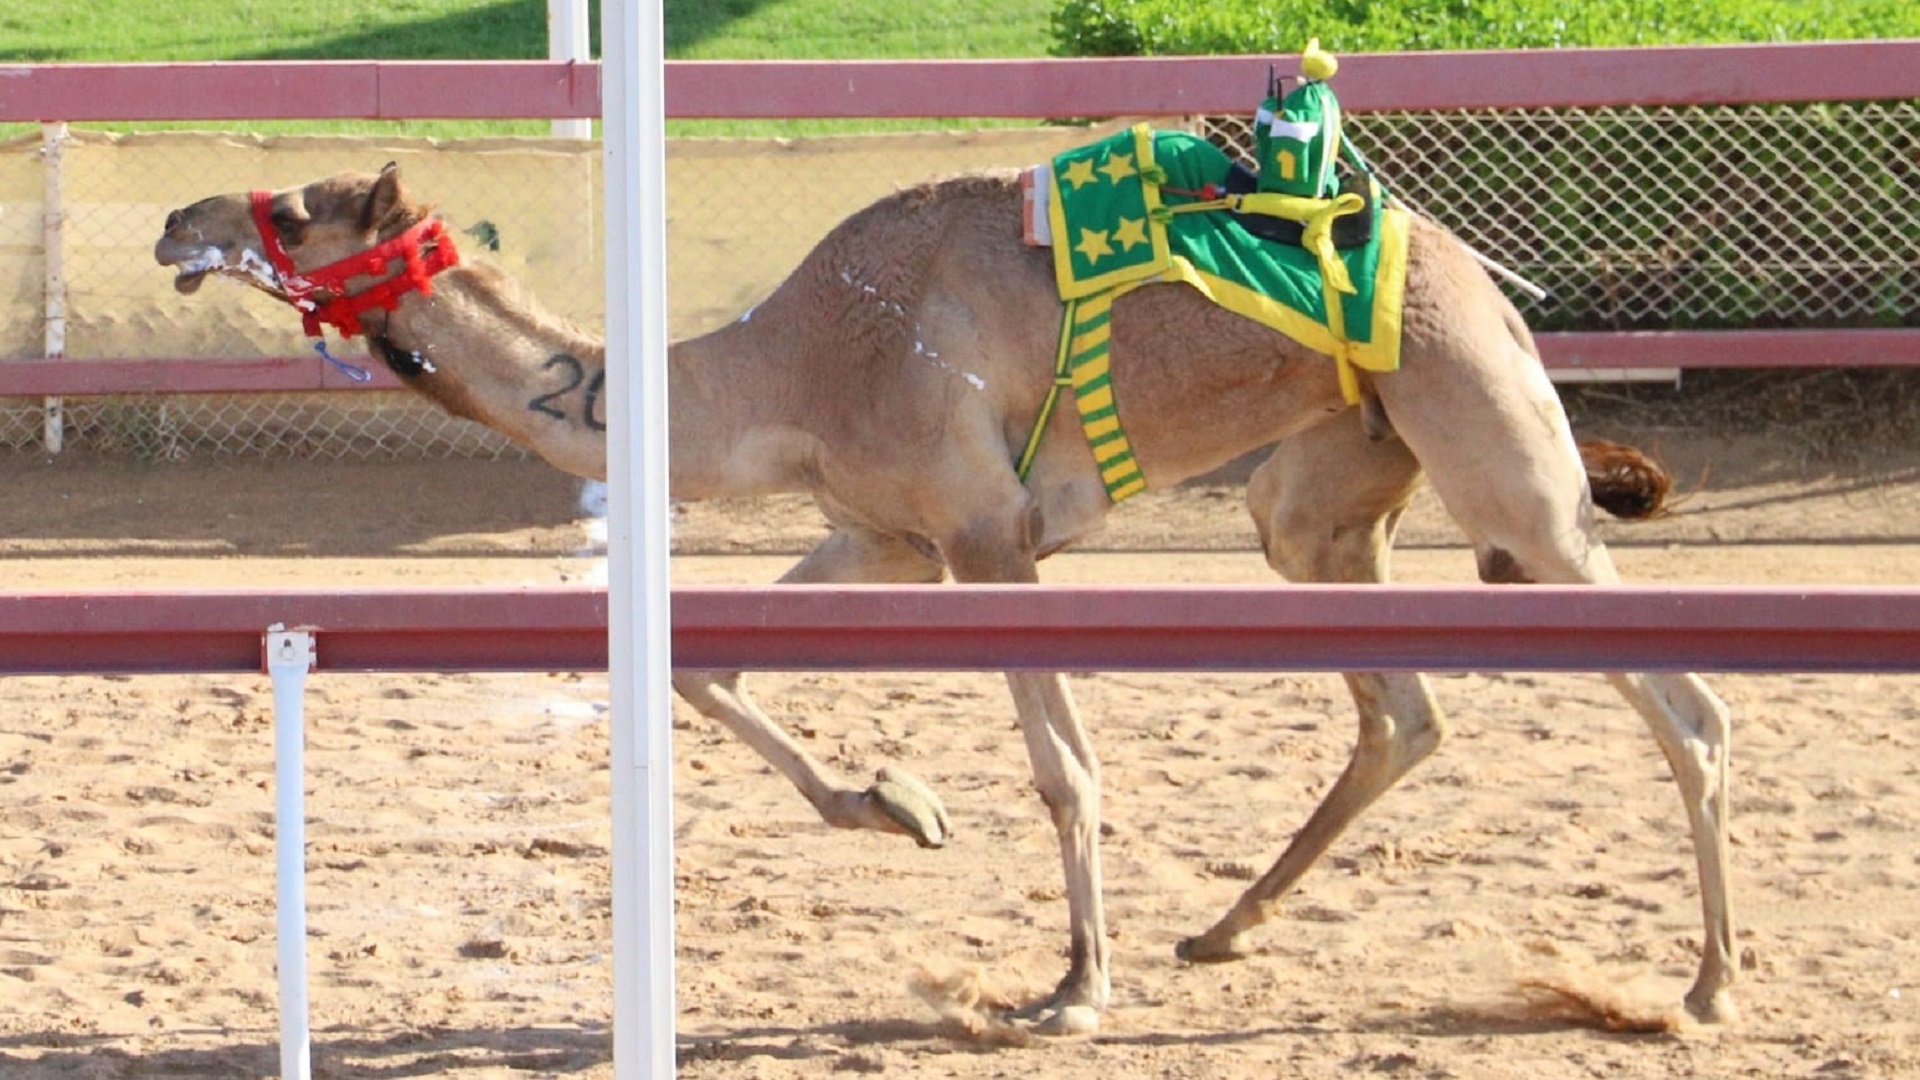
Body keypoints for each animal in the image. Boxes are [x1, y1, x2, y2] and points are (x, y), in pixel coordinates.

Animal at [157, 164, 1735, 1030]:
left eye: (292, 209)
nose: (176, 223)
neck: (785, 368)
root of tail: (1492, 281)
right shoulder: (885, 533)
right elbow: (702, 667)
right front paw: (897, 805)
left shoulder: (987, 534)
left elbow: (1064, 768)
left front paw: (1074, 987)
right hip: (1328, 492)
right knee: (1400, 706)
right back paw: (1224, 929)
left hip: (1489, 442)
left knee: (1687, 700)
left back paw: (1709, 986)